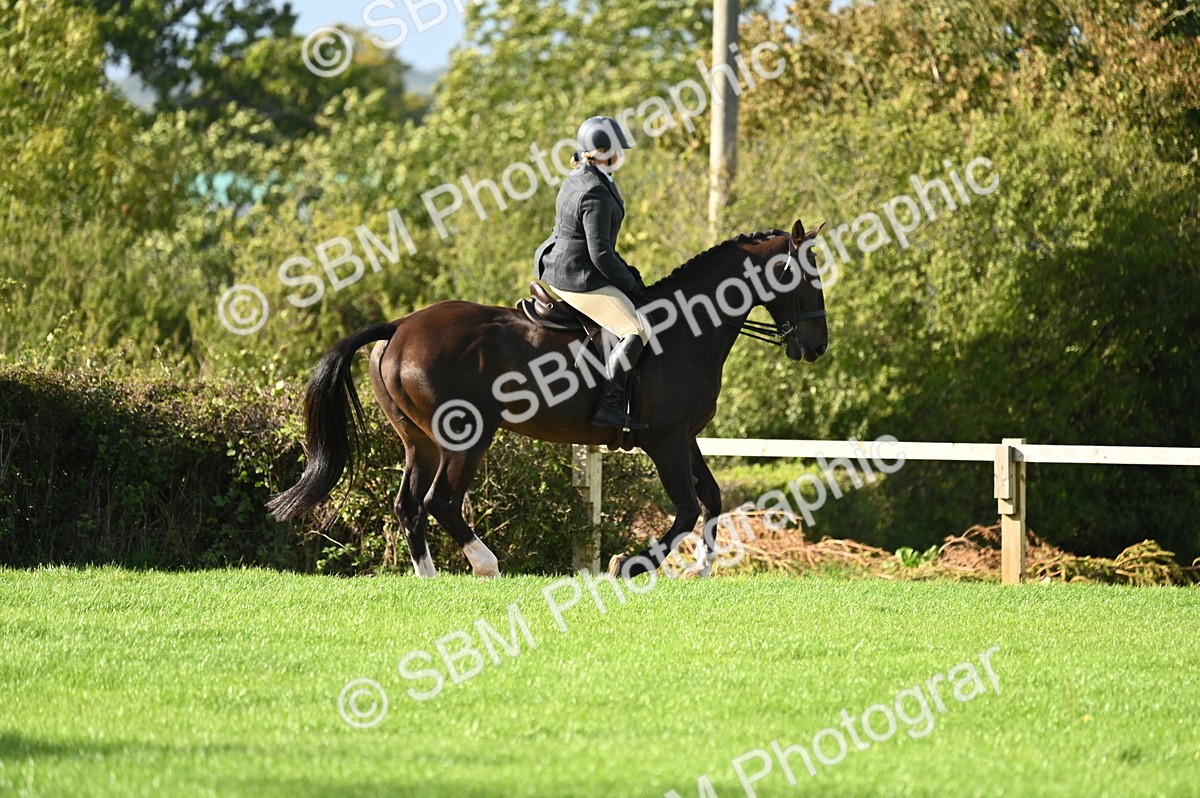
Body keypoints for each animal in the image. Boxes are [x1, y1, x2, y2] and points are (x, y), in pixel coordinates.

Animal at [268, 219, 829, 579]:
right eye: (805, 276)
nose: (817, 346)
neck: (686, 329)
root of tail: (400, 325)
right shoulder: (666, 442)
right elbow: (688, 507)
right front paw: (627, 565)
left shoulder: (684, 438)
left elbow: (711, 499)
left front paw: (702, 569)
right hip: (466, 437)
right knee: (440, 501)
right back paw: (487, 565)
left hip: (419, 441)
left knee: (409, 505)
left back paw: (430, 578)